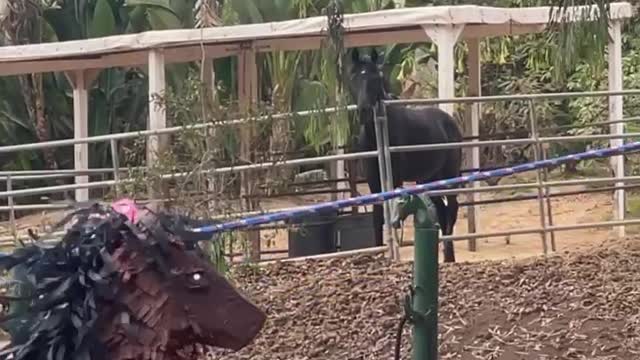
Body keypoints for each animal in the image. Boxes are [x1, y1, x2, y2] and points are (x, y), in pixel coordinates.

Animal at [348, 47, 462, 262]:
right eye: (354, 77)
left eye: (376, 78)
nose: (364, 111)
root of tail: (449, 121)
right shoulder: (373, 181)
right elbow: (377, 217)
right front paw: (380, 253)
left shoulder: (396, 179)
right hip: (428, 179)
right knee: (442, 212)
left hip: (449, 176)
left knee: (451, 209)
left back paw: (449, 257)